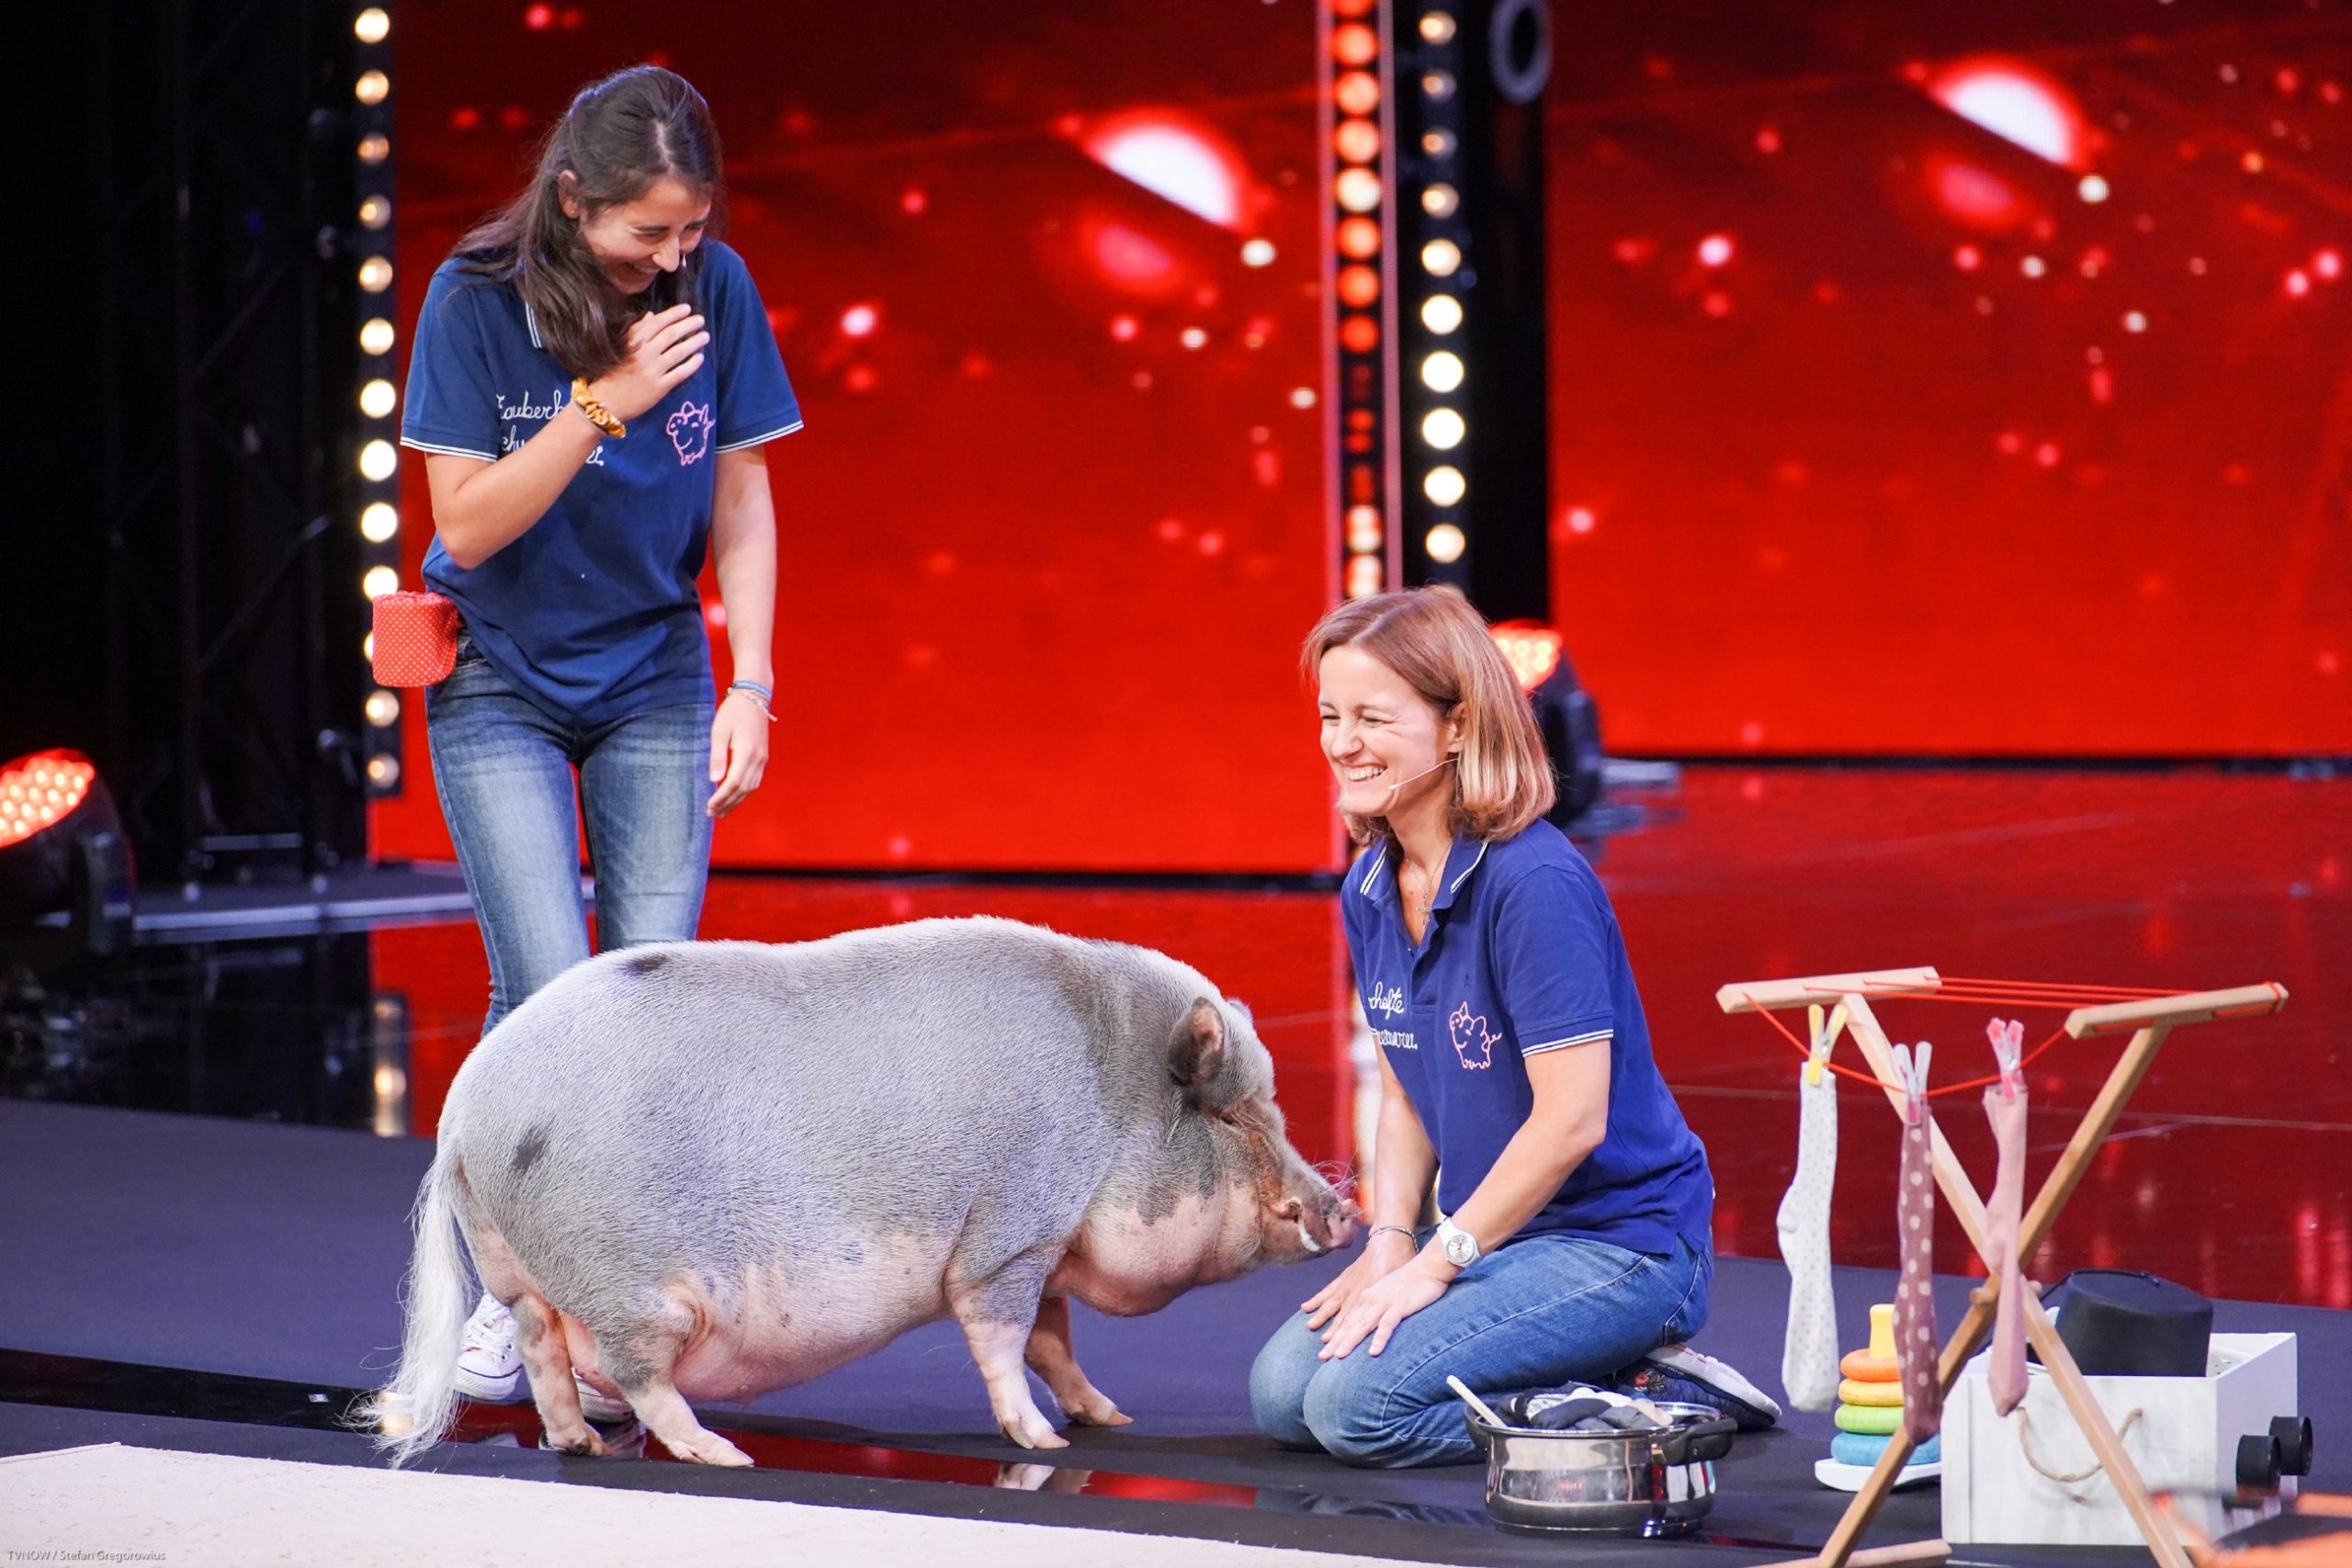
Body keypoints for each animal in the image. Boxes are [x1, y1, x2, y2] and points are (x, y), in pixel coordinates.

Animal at [367, 911, 1363, 1466]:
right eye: (1230, 1118)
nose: (1342, 1208)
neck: (1109, 1099)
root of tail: (462, 1110)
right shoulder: (1009, 1234)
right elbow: (1004, 1340)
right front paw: (1041, 1443)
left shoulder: (1042, 1239)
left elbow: (1054, 1340)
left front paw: (1106, 1419)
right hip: (629, 1289)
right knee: (636, 1372)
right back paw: (721, 1456)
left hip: (515, 1269)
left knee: (543, 1352)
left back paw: (575, 1442)